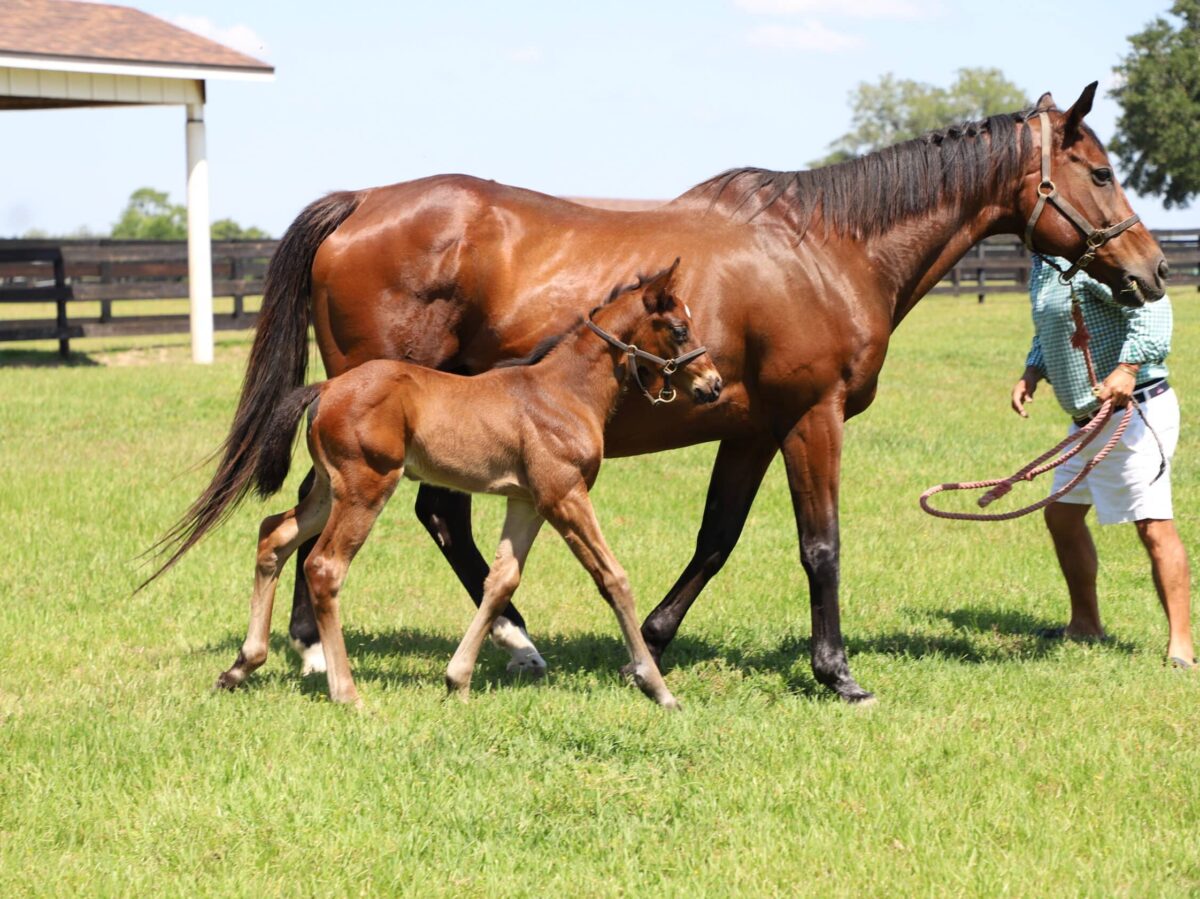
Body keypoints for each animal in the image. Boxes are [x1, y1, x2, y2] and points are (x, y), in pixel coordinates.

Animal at [214, 261, 720, 710]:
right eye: (680, 329)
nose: (713, 385)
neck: (563, 392)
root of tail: (324, 388)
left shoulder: (526, 501)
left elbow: (501, 581)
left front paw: (457, 678)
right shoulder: (564, 495)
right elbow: (613, 577)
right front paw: (656, 687)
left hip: (327, 488)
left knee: (274, 533)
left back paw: (241, 666)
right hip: (365, 487)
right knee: (324, 566)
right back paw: (346, 692)